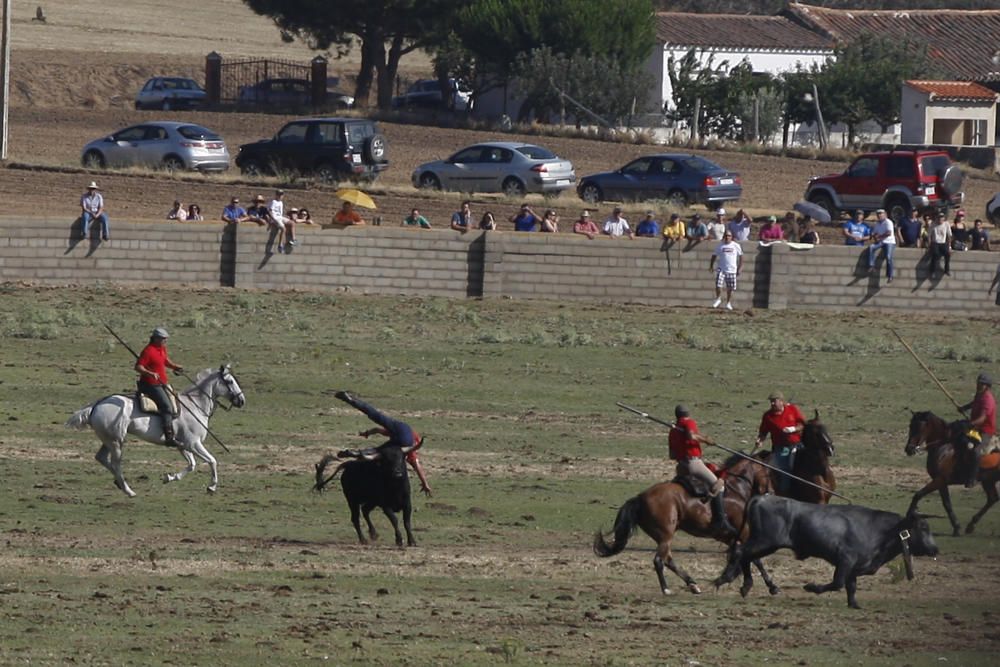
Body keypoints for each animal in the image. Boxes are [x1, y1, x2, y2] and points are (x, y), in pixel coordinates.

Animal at [66, 366, 244, 496]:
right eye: (230, 381)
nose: (241, 400)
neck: (195, 406)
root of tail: (96, 405)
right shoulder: (193, 443)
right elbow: (212, 460)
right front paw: (212, 486)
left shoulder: (183, 445)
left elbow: (192, 464)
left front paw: (169, 477)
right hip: (116, 442)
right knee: (115, 464)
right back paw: (128, 490)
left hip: (109, 440)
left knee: (102, 458)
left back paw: (119, 483)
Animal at [592, 456, 780, 596]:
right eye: (768, 473)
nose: (771, 492)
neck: (736, 490)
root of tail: (640, 497)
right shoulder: (743, 534)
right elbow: (755, 559)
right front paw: (764, 586)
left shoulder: (730, 538)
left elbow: (748, 558)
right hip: (666, 535)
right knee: (659, 560)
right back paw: (667, 589)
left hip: (664, 537)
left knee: (668, 560)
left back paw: (692, 584)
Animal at [712, 496, 936, 612]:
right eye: (923, 527)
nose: (935, 549)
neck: (876, 529)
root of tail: (763, 497)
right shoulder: (845, 560)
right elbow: (837, 583)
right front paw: (811, 587)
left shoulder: (854, 567)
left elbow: (851, 587)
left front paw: (854, 604)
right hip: (765, 541)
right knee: (741, 551)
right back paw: (728, 579)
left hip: (764, 542)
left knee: (746, 555)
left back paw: (744, 585)